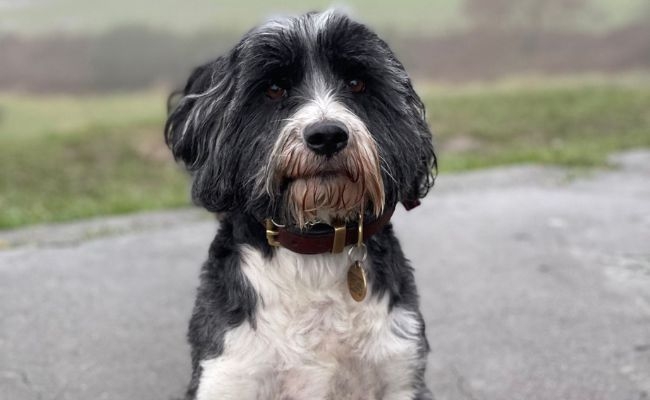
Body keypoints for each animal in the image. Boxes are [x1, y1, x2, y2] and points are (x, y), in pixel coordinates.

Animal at [163, 9, 436, 400]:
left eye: (356, 82)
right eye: (274, 88)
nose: (327, 135)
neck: (313, 252)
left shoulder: (401, 370)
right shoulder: (227, 371)